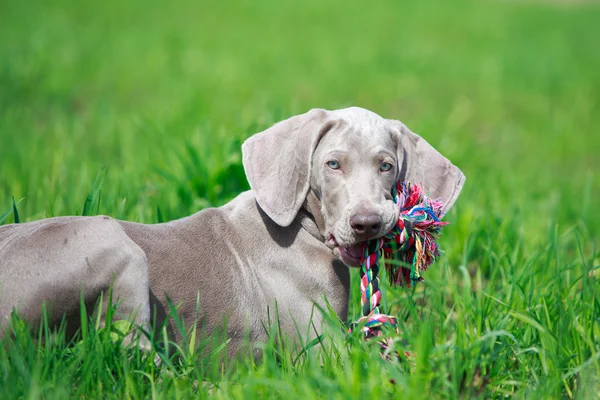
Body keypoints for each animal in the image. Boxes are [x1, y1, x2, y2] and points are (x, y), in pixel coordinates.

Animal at [0, 107, 464, 356]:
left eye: (387, 165)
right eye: (333, 164)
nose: (367, 224)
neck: (303, 228)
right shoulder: (320, 350)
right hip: (114, 244)